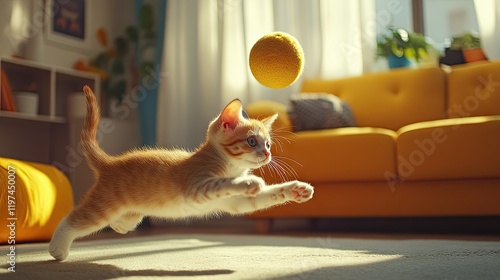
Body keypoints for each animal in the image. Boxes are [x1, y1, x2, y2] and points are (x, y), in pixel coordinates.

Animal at [47, 85, 312, 260]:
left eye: (268, 144)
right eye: (252, 142)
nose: (267, 154)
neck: (229, 164)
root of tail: (111, 163)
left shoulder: (236, 203)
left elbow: (265, 196)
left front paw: (295, 189)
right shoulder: (196, 186)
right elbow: (223, 182)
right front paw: (248, 181)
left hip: (130, 214)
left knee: (119, 224)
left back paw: (118, 228)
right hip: (103, 205)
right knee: (74, 218)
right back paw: (57, 247)